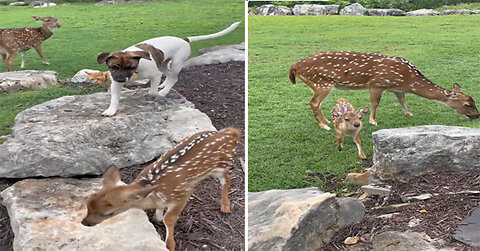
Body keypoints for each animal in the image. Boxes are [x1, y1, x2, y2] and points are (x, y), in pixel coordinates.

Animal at [81, 128, 244, 250]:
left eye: (109, 213)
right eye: (87, 204)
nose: (84, 223)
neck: (151, 190)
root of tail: (230, 134)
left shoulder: (182, 194)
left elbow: (169, 218)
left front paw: (170, 245)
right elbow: (160, 214)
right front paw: (156, 218)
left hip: (222, 165)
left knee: (227, 180)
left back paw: (225, 206)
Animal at [97, 21, 240, 115]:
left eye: (130, 67)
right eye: (113, 67)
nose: (122, 80)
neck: (137, 69)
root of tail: (184, 40)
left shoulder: (155, 75)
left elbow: (152, 91)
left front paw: (154, 94)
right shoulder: (115, 82)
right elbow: (114, 98)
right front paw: (111, 110)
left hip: (175, 64)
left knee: (174, 77)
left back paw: (164, 91)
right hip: (163, 64)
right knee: (169, 75)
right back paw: (164, 85)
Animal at [288, 50, 480, 129]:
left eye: (473, 101)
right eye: (468, 104)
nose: (477, 116)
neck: (407, 79)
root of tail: (295, 67)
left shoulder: (396, 88)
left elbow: (402, 99)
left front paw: (409, 113)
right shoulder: (377, 84)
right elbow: (375, 103)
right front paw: (373, 121)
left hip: (319, 84)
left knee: (316, 103)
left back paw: (327, 121)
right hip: (322, 83)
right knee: (313, 102)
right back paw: (323, 125)